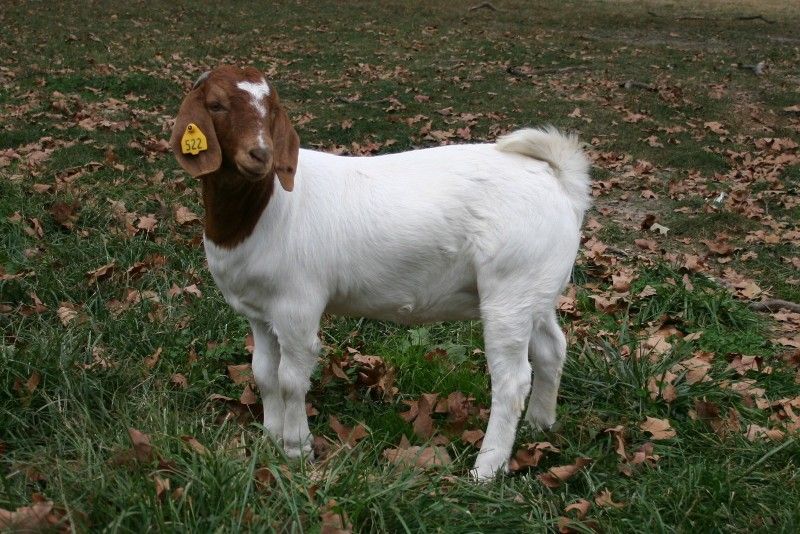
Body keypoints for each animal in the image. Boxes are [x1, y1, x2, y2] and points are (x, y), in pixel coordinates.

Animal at [170, 65, 590, 480]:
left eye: (272, 109)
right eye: (216, 104)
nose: (262, 153)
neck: (266, 206)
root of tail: (559, 179)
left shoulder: (296, 306)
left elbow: (290, 380)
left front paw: (297, 450)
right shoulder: (259, 311)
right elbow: (263, 373)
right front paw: (270, 438)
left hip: (510, 290)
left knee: (511, 381)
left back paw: (486, 468)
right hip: (535, 289)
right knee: (551, 348)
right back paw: (540, 424)